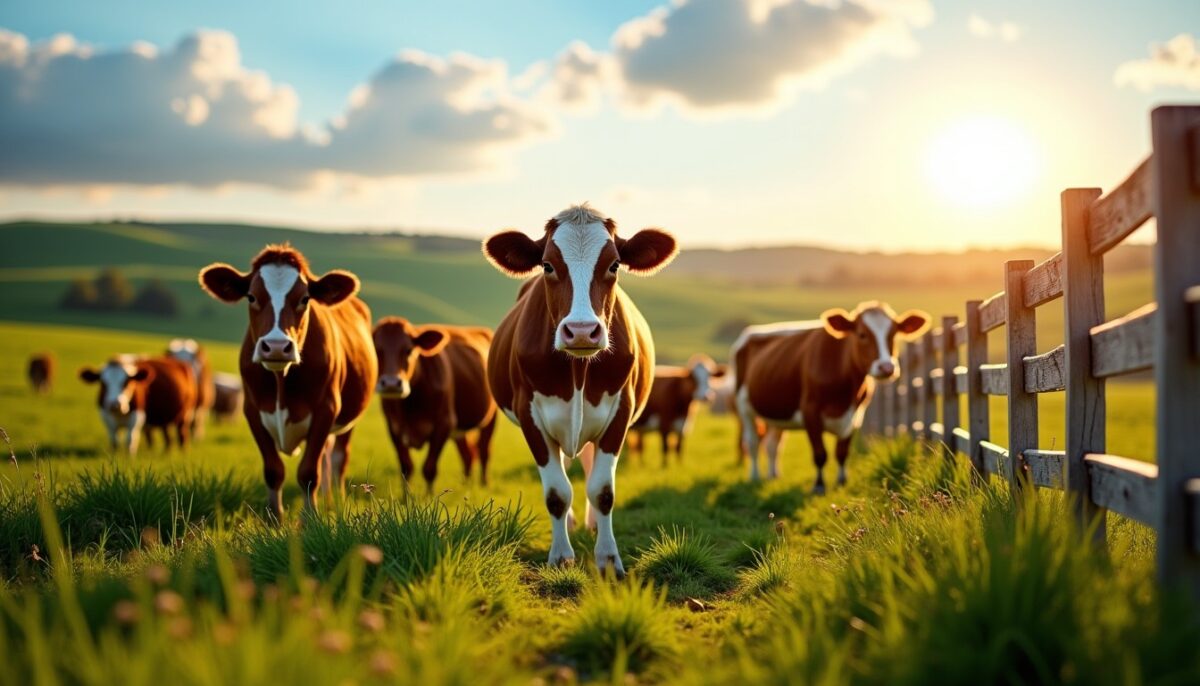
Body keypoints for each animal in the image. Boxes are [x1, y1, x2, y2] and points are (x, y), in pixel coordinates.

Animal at [198, 244, 377, 517]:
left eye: (305, 299)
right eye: (251, 297)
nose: (276, 346)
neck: (281, 380)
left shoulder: (326, 409)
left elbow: (308, 473)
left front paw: (310, 520)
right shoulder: (252, 410)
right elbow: (274, 471)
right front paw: (274, 519)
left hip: (348, 419)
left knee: (338, 459)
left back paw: (337, 503)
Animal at [372, 317, 499, 488]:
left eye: (409, 350)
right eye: (376, 349)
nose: (391, 384)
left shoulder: (444, 423)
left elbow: (429, 468)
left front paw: (429, 495)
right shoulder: (394, 427)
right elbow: (406, 468)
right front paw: (405, 496)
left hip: (490, 417)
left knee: (484, 450)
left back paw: (484, 484)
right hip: (459, 429)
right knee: (467, 455)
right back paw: (465, 486)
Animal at [483, 203, 677, 577]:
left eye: (614, 264)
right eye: (547, 265)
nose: (583, 331)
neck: (577, 371)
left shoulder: (620, 411)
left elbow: (602, 490)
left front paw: (608, 559)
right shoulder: (530, 414)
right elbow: (557, 493)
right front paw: (561, 556)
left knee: (588, 467)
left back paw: (591, 523)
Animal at [734, 302, 929, 492]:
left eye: (893, 334)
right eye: (862, 334)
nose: (887, 367)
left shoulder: (855, 415)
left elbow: (842, 452)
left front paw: (842, 481)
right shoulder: (810, 411)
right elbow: (820, 453)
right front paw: (819, 485)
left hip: (776, 413)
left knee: (773, 445)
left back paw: (773, 475)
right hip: (744, 407)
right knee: (752, 443)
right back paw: (754, 476)